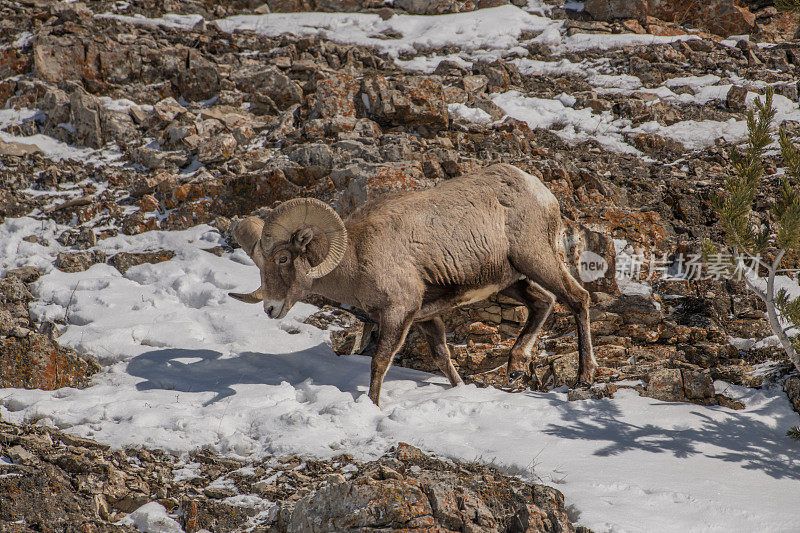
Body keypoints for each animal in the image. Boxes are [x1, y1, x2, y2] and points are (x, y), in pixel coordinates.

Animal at [230, 164, 592, 406]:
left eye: (283, 259)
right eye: (259, 262)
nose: (271, 309)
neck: (356, 257)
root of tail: (540, 191)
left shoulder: (398, 314)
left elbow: (379, 362)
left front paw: (373, 407)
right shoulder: (425, 317)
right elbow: (443, 358)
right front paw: (461, 390)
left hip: (536, 260)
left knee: (577, 298)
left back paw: (583, 379)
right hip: (510, 280)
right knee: (543, 302)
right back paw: (516, 366)